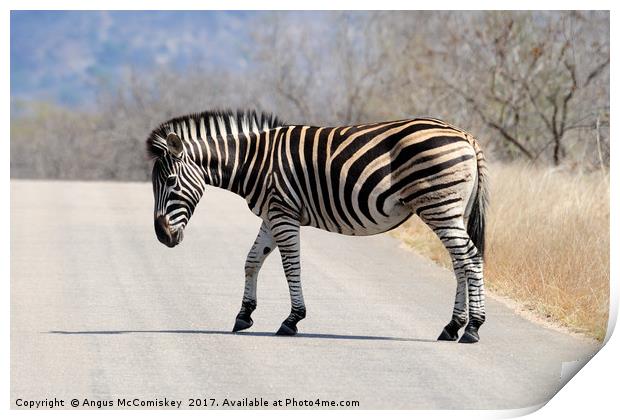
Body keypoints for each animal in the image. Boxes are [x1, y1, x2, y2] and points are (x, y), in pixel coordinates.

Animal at [147, 110, 490, 342]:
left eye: (171, 181)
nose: (162, 237)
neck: (253, 162)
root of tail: (466, 136)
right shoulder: (271, 215)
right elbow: (252, 260)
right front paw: (244, 315)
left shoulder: (283, 214)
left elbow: (291, 267)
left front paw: (292, 320)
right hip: (451, 209)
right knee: (460, 262)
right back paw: (452, 327)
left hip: (439, 206)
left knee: (471, 258)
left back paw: (472, 328)